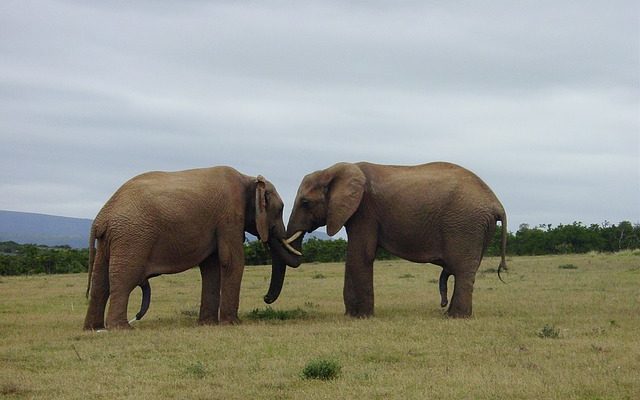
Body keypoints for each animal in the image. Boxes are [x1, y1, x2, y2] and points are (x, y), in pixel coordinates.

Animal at [84, 166, 302, 332]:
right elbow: (232, 261)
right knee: (124, 280)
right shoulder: (229, 216)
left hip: (110, 241)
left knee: (100, 283)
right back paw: (122, 328)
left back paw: (94, 328)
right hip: (132, 238)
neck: (248, 179)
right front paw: (232, 324)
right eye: (280, 209)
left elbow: (211, 267)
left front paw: (208, 324)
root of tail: (102, 217)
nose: (265, 298)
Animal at [272, 161, 508, 318]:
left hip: (465, 224)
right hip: (476, 228)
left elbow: (361, 253)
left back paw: (455, 317)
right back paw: (452, 314)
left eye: (305, 202)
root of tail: (496, 203)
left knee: (463, 270)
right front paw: (355, 315)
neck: (334, 170)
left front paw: (359, 317)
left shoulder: (365, 210)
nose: (266, 300)